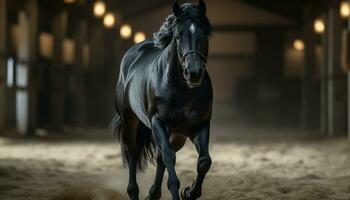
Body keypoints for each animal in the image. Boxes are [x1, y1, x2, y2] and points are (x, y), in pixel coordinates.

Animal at [112, 0, 212, 199]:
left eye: (204, 34)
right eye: (178, 36)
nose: (194, 73)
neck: (183, 90)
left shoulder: (200, 125)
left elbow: (204, 161)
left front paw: (189, 192)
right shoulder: (159, 122)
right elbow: (169, 158)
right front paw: (179, 191)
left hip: (177, 135)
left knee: (160, 158)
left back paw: (153, 193)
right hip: (130, 122)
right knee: (133, 154)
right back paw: (134, 191)